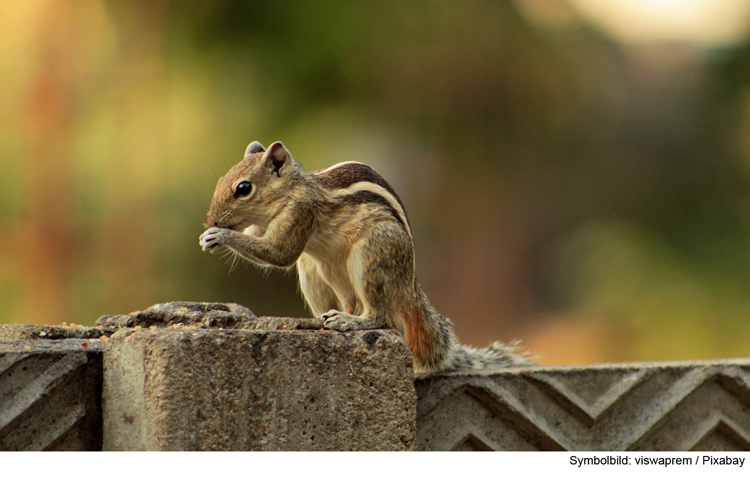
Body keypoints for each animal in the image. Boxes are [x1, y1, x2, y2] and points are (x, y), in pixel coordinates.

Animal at [197, 141, 532, 374]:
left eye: (243, 188)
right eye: (220, 181)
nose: (209, 220)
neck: (292, 189)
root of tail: (409, 288)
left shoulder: (301, 211)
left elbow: (280, 253)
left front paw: (219, 236)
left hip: (372, 256)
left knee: (378, 316)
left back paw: (351, 322)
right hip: (318, 272)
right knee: (348, 301)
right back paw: (326, 318)